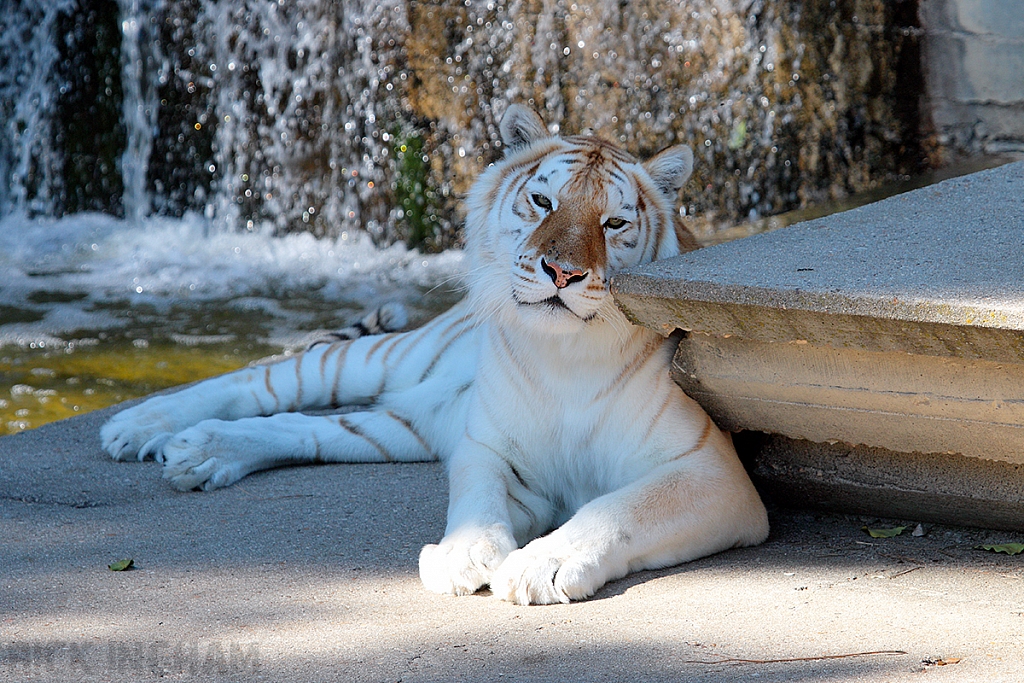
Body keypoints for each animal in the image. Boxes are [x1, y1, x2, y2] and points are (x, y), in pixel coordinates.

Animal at [101, 105, 770, 602]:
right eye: (543, 203)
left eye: (612, 224)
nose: (561, 272)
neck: (565, 357)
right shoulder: (488, 446)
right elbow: (475, 499)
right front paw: (463, 555)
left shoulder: (711, 472)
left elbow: (615, 509)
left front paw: (539, 566)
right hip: (393, 359)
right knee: (262, 379)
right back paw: (142, 425)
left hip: (409, 424)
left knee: (306, 428)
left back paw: (203, 453)